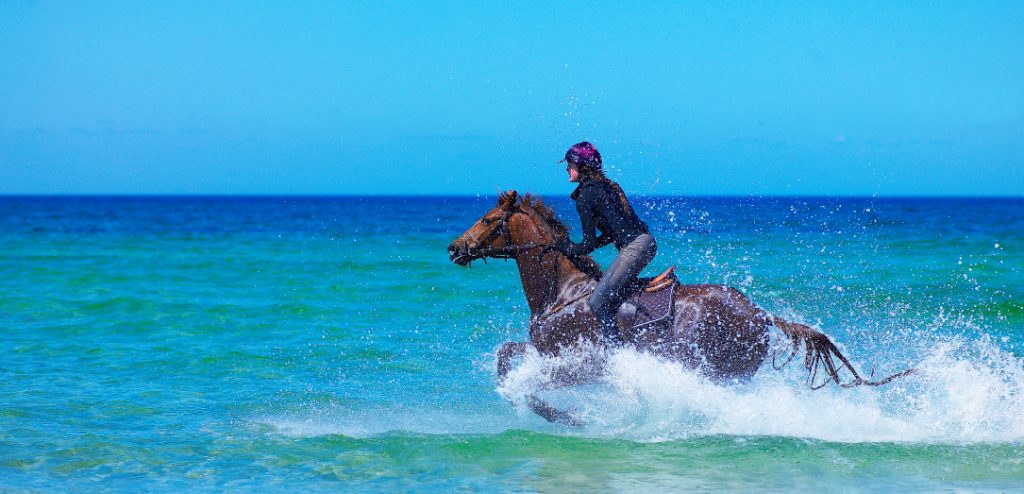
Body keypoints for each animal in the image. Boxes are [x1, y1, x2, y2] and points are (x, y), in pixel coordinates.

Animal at [447, 190, 915, 425]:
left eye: (488, 220)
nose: (454, 248)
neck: (564, 291)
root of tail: (761, 314)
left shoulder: (580, 362)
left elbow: (524, 380)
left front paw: (567, 418)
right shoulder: (545, 353)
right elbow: (506, 360)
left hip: (713, 368)